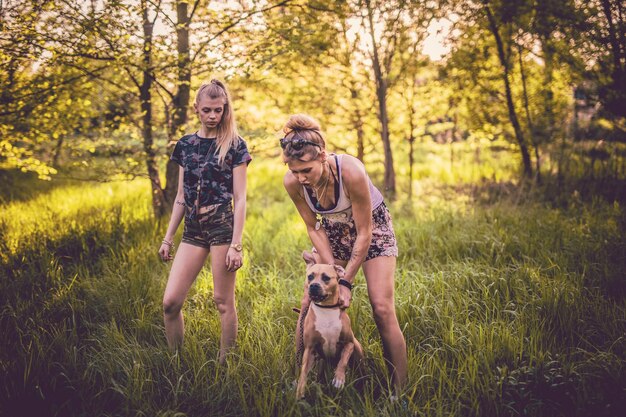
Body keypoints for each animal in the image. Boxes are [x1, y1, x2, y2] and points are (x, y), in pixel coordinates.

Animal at [294, 249, 364, 398]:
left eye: (326, 278)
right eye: (310, 277)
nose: (314, 286)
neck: (326, 309)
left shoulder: (349, 343)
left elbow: (343, 360)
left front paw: (339, 378)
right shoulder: (309, 349)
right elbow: (303, 373)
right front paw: (299, 392)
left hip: (357, 350)